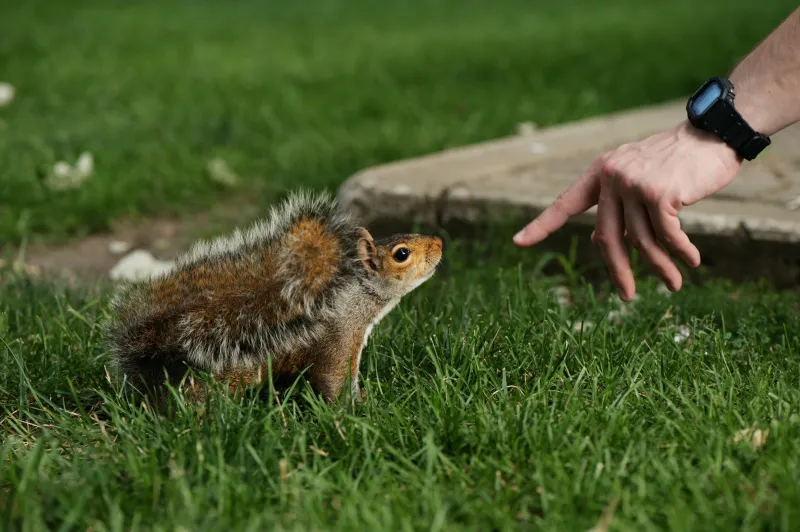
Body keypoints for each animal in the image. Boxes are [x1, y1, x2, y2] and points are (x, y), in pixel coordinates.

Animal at [104, 189, 443, 408]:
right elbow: (333, 380)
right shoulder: (339, 339)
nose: (439, 242)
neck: (356, 295)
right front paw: (358, 409)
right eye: (402, 254)